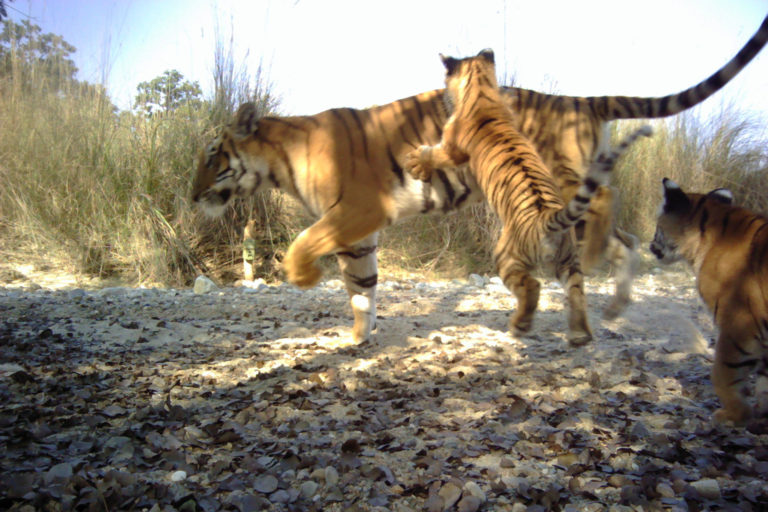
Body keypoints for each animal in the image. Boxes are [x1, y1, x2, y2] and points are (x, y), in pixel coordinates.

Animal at [404, 49, 652, 344]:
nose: (443, 97)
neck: (482, 90)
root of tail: (549, 221)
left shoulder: (450, 149)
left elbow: (433, 153)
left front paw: (416, 160)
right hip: (568, 261)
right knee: (577, 290)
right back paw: (580, 333)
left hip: (507, 253)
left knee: (533, 284)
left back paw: (520, 325)